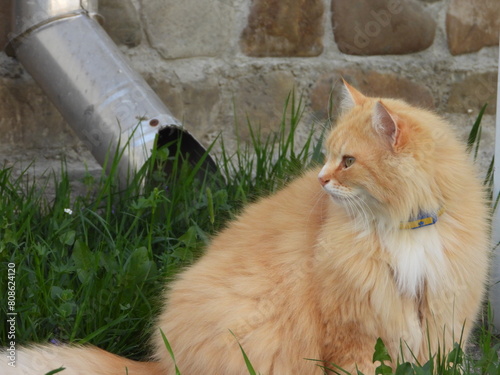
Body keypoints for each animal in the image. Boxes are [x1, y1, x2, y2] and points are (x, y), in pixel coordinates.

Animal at [1, 83, 490, 375]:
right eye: (328, 156)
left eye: (348, 161)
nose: (321, 180)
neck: (408, 227)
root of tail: (161, 367)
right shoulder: (357, 334)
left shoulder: (443, 319)